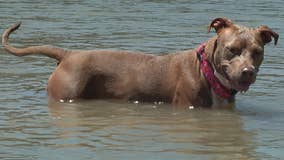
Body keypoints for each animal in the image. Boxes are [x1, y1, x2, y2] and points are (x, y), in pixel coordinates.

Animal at [1, 17, 278, 108]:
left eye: (257, 52)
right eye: (232, 50)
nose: (247, 72)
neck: (208, 72)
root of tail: (68, 54)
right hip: (66, 94)